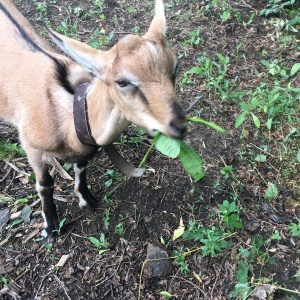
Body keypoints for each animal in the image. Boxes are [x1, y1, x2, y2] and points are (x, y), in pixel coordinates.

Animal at [0, 0, 186, 239]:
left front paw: (86, 200)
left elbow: (81, 167)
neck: (68, 118)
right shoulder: (30, 145)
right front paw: (51, 227)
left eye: (175, 67)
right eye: (122, 81)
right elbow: (45, 184)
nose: (179, 126)